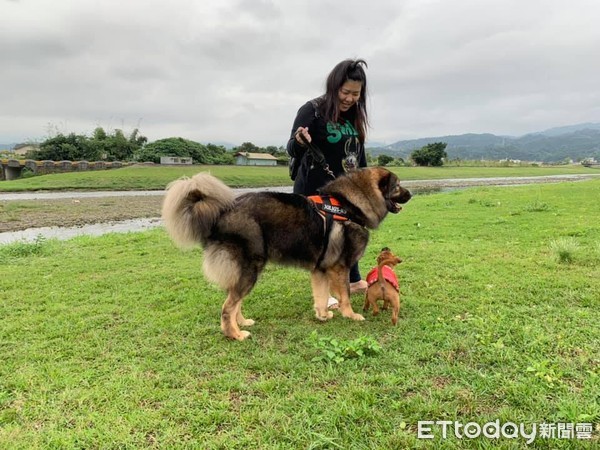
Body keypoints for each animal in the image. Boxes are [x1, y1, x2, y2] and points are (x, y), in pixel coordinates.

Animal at [162, 167, 410, 340]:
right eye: (398, 186)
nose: (410, 195)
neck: (349, 205)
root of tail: (221, 213)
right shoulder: (340, 267)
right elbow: (345, 295)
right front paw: (351, 315)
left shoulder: (320, 269)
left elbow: (321, 296)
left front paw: (322, 315)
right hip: (251, 268)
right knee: (227, 307)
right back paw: (234, 334)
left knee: (234, 301)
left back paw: (241, 323)